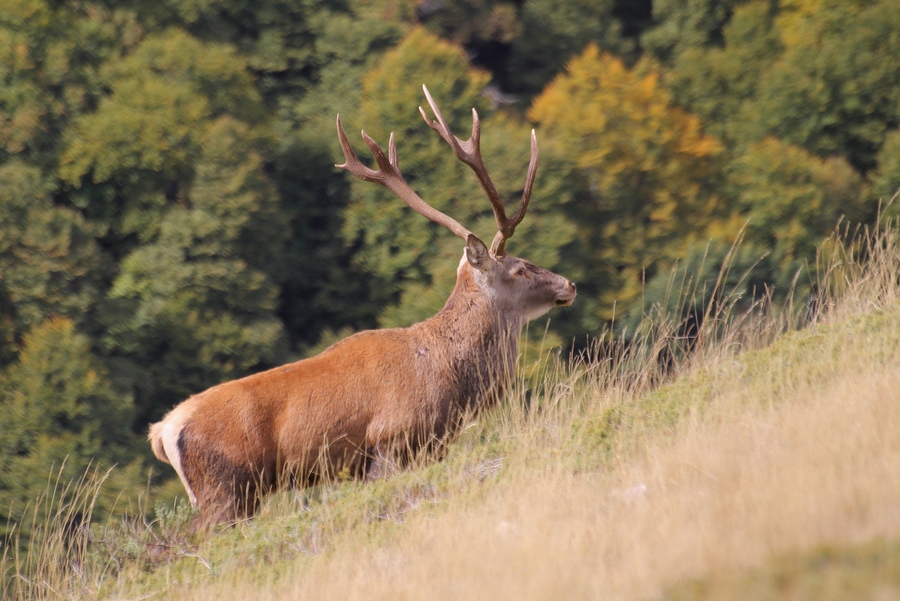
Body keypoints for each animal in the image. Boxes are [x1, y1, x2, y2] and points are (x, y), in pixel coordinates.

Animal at [149, 85, 576, 524]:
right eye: (519, 269)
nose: (569, 284)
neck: (450, 374)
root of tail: (163, 431)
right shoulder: (391, 442)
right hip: (224, 492)